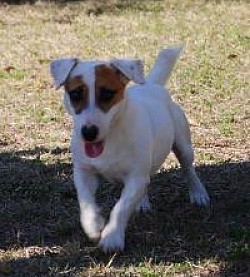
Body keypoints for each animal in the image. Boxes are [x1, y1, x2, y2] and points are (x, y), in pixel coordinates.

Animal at [49, 45, 209, 252]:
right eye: (75, 94)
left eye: (107, 94)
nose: (89, 132)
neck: (110, 138)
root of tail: (151, 85)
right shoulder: (84, 172)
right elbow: (85, 200)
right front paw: (93, 224)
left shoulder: (135, 177)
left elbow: (121, 207)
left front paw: (112, 236)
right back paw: (141, 202)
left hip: (183, 145)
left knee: (188, 168)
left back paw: (198, 193)